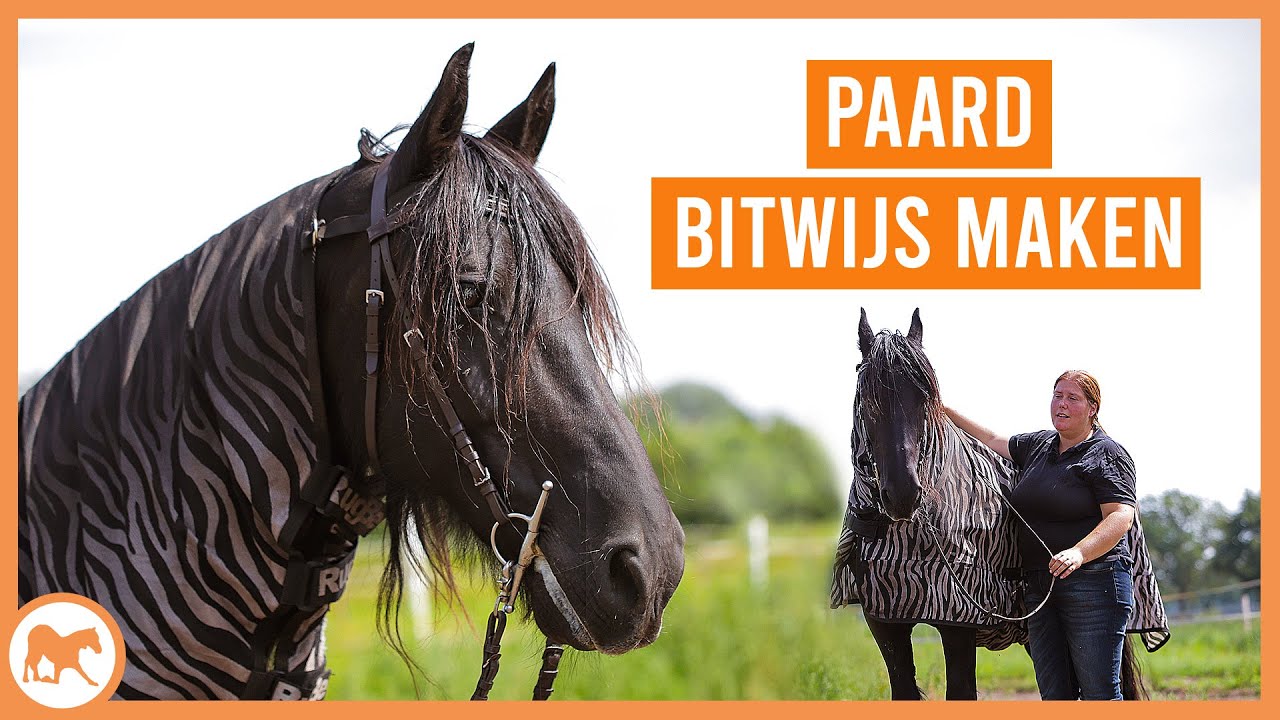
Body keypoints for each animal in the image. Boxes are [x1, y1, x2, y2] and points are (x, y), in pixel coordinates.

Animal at [831, 308, 1168, 700]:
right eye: (867, 397)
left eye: (927, 397)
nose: (903, 493)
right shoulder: (883, 620)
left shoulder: (958, 618)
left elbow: (961, 691)